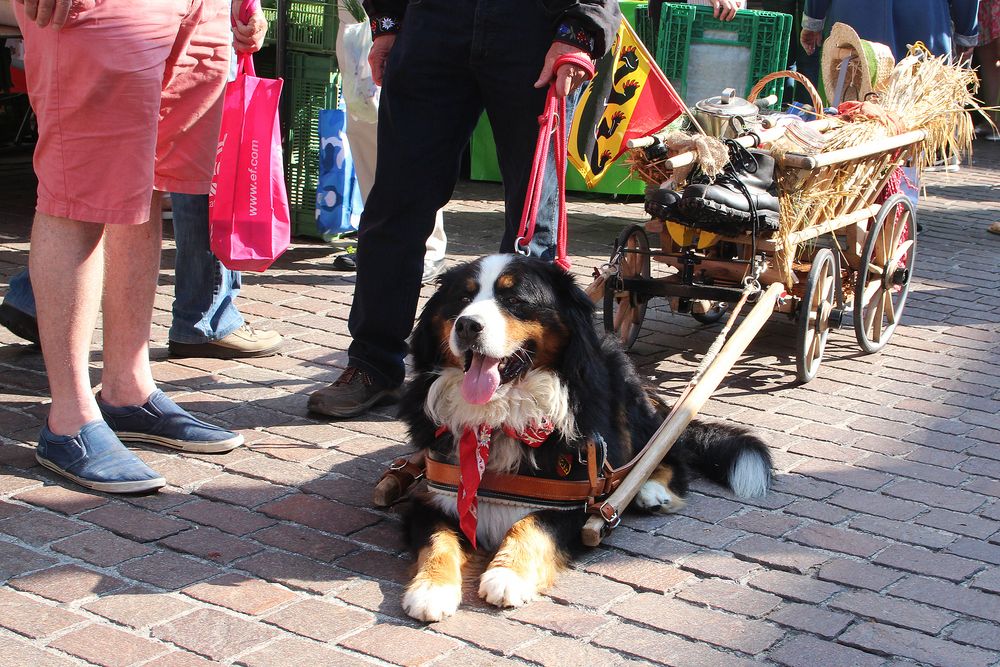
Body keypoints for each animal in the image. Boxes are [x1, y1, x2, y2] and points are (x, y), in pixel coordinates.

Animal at [394, 253, 768, 624]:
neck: (498, 419)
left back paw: (649, 490)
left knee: (662, 451)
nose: (468, 325)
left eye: (514, 301)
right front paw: (431, 589)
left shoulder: (575, 498)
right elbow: (438, 540)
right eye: (462, 299)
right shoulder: (432, 495)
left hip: (626, 404)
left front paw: (508, 575)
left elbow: (530, 525)